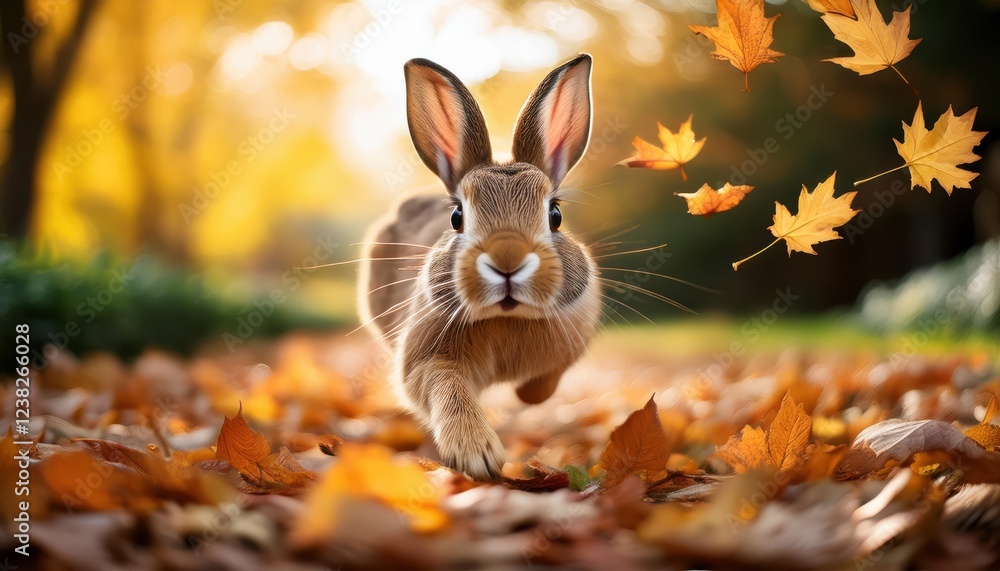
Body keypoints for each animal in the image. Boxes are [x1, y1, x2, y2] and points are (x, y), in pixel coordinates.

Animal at [358, 54, 601, 480]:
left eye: (555, 215)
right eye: (457, 216)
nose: (508, 260)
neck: (507, 317)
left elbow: (543, 385)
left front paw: (526, 395)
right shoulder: (426, 359)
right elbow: (445, 385)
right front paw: (478, 454)